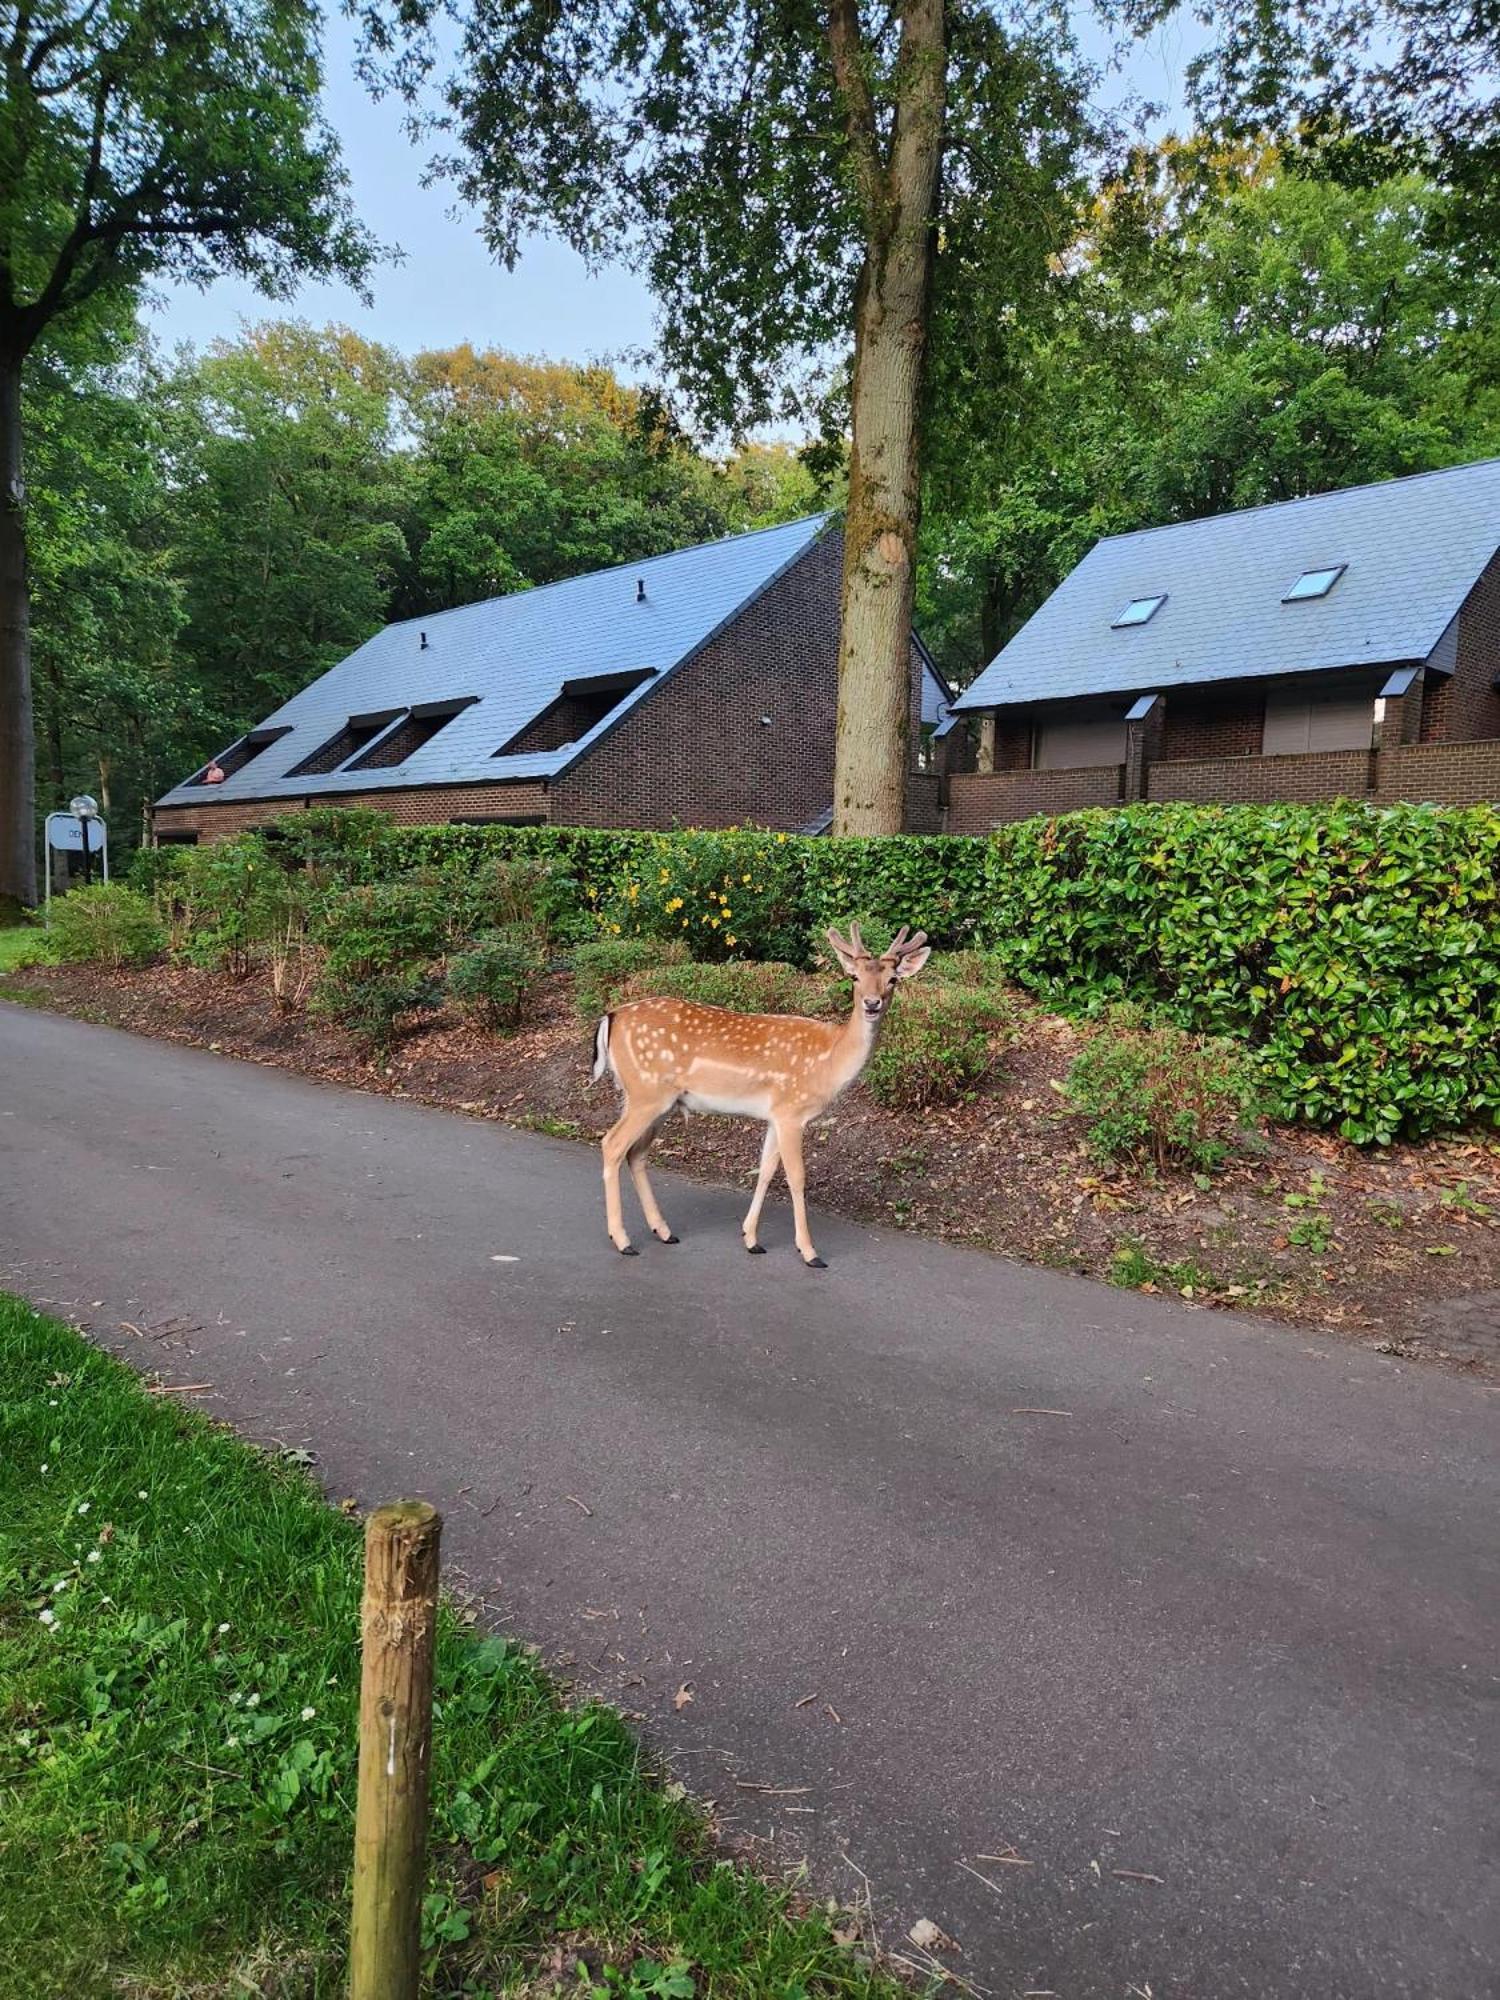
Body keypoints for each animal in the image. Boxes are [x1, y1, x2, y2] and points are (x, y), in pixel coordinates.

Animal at [596, 924, 928, 1264]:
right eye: (854, 977)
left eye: (893, 979)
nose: (872, 1004)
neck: (828, 1061)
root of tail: (611, 1017)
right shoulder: (792, 1111)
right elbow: (796, 1176)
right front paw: (809, 1251)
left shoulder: (775, 1115)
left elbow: (765, 1170)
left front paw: (751, 1238)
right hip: (646, 1093)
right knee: (612, 1144)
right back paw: (623, 1240)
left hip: (655, 1100)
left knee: (636, 1153)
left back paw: (663, 1231)